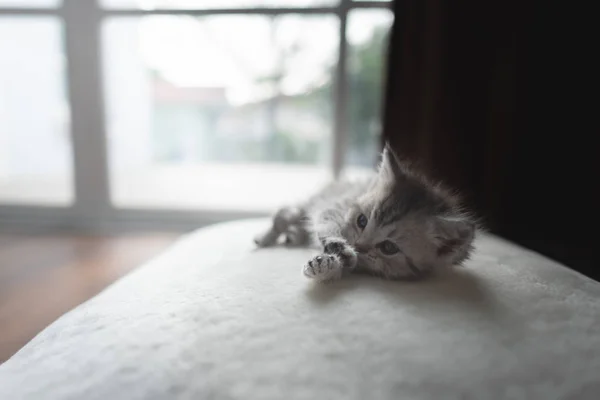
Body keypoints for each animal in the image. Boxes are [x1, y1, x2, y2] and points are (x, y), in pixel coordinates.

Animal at [254, 145, 478, 282]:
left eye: (389, 247)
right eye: (361, 221)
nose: (358, 245)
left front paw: (328, 264)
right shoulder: (333, 208)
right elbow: (327, 225)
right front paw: (338, 247)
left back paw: (294, 236)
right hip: (309, 204)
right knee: (283, 215)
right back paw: (266, 237)